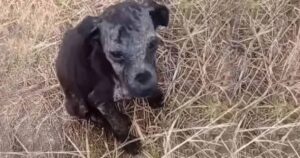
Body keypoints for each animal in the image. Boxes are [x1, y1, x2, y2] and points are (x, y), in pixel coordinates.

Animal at [55, 0, 169, 154]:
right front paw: (128, 142)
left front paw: (155, 96)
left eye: (152, 44)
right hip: (77, 104)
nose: (146, 88)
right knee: (93, 117)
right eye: (115, 54)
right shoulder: (98, 100)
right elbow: (117, 123)